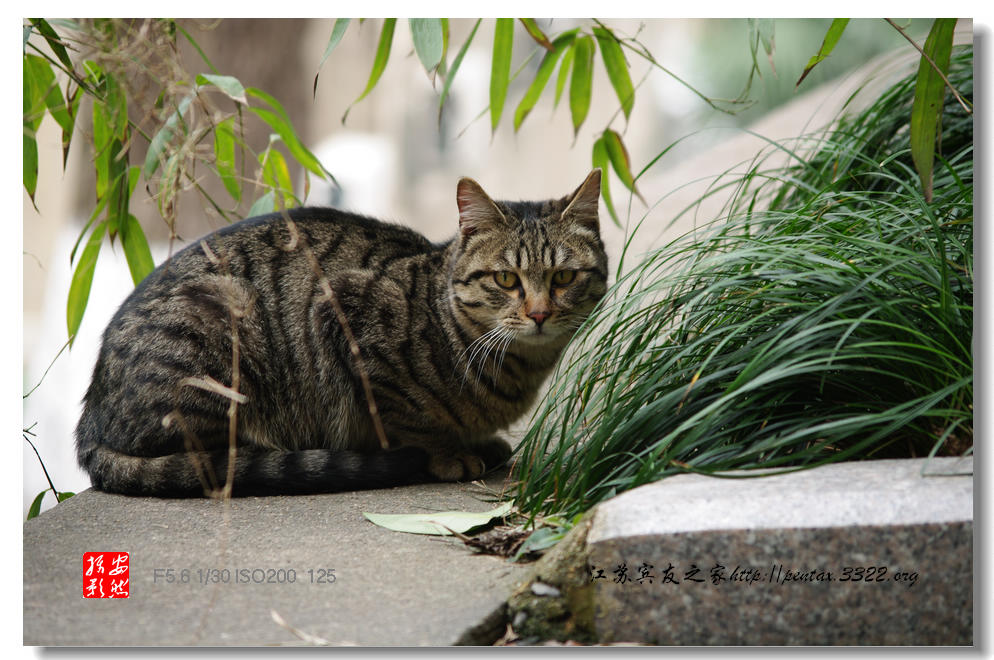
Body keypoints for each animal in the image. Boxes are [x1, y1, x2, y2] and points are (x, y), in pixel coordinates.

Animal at [75, 169, 604, 496]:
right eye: (507, 280)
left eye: (563, 277)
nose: (539, 313)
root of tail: (91, 424)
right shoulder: (343, 314)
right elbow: (407, 417)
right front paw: (448, 453)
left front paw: (480, 442)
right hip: (224, 327)